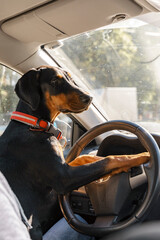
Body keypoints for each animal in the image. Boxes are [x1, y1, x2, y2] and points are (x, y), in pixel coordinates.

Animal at [0, 65, 149, 240]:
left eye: (70, 78)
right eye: (54, 81)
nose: (89, 98)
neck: (32, 124)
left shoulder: (66, 165)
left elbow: (86, 157)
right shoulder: (65, 178)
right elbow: (110, 160)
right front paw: (143, 155)